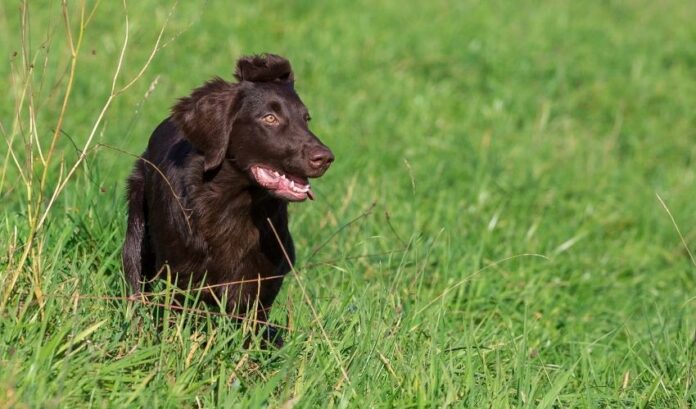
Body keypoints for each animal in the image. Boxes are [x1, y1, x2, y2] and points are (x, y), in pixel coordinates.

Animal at [121, 54, 334, 342]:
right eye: (270, 118)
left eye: (306, 119)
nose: (325, 158)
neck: (234, 203)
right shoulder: (178, 275)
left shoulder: (262, 283)